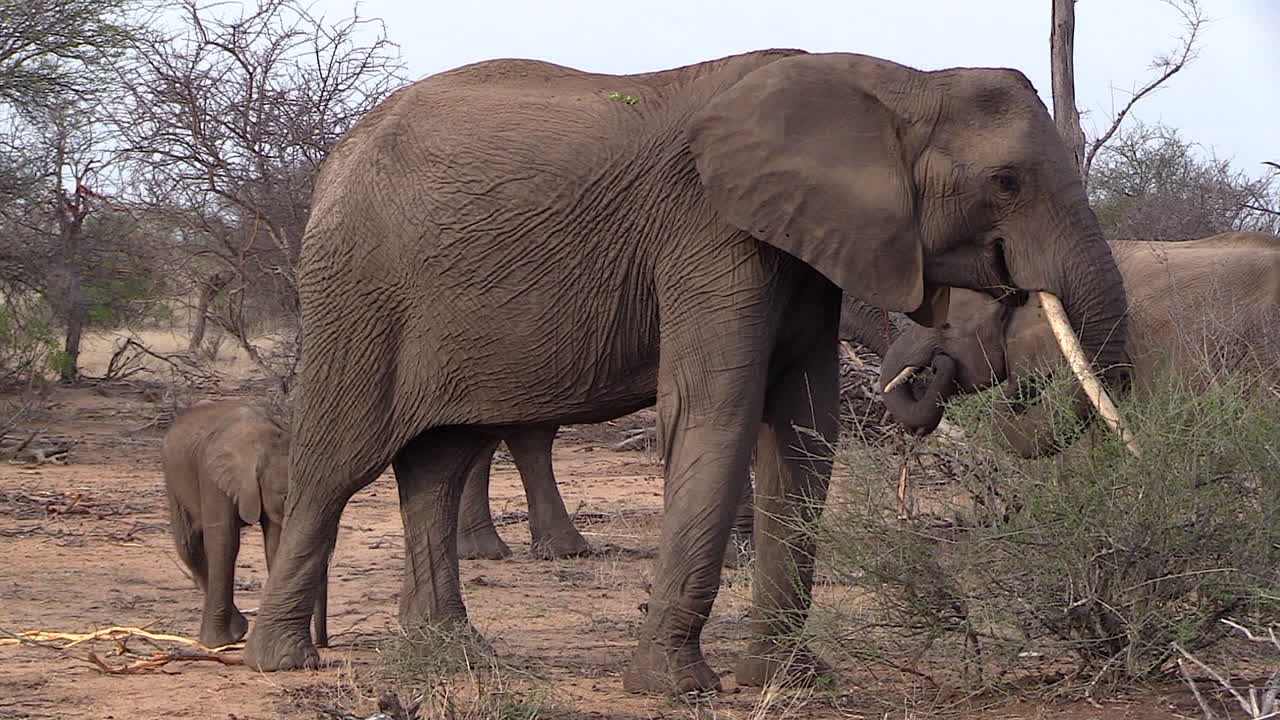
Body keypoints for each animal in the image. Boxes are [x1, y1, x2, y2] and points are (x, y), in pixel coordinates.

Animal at [162, 400, 327, 649]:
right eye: (286, 496)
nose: (321, 644)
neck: (260, 444)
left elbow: (274, 544)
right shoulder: (212, 478)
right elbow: (224, 541)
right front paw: (216, 644)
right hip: (173, 478)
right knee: (188, 546)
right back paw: (235, 632)